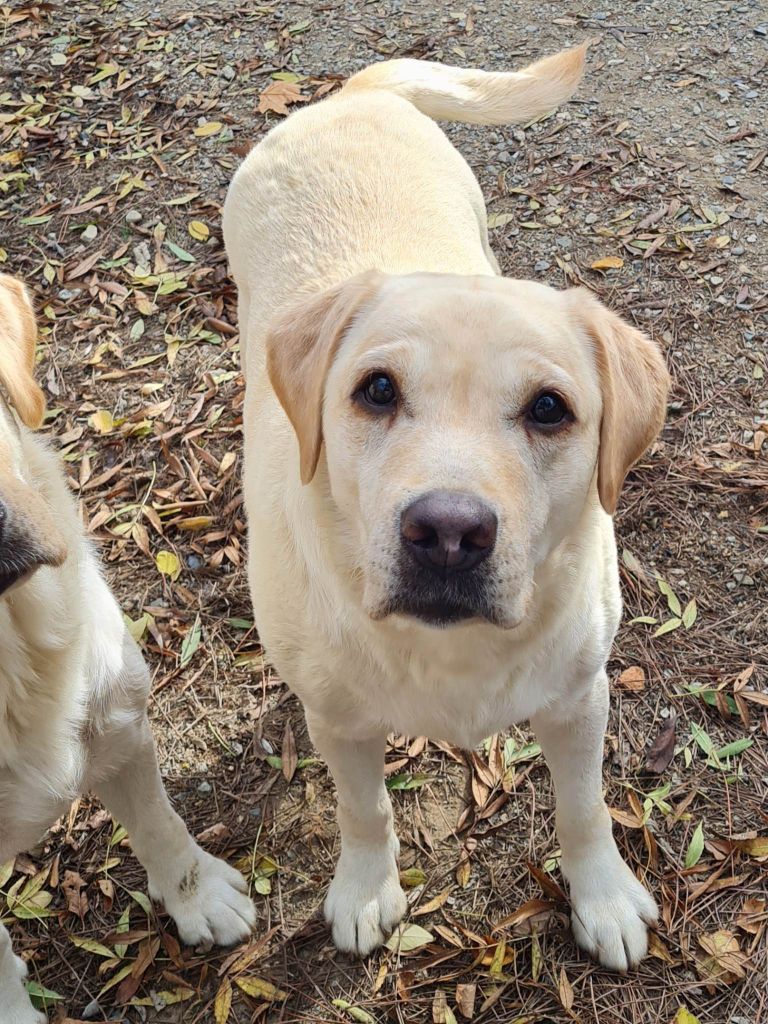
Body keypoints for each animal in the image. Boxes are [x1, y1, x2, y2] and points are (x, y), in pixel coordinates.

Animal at [222, 48, 667, 970]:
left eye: (549, 410)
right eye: (376, 391)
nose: (450, 534)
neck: (450, 653)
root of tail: (351, 97)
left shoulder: (580, 699)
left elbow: (584, 810)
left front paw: (601, 897)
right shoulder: (339, 719)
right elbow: (363, 809)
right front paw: (366, 889)